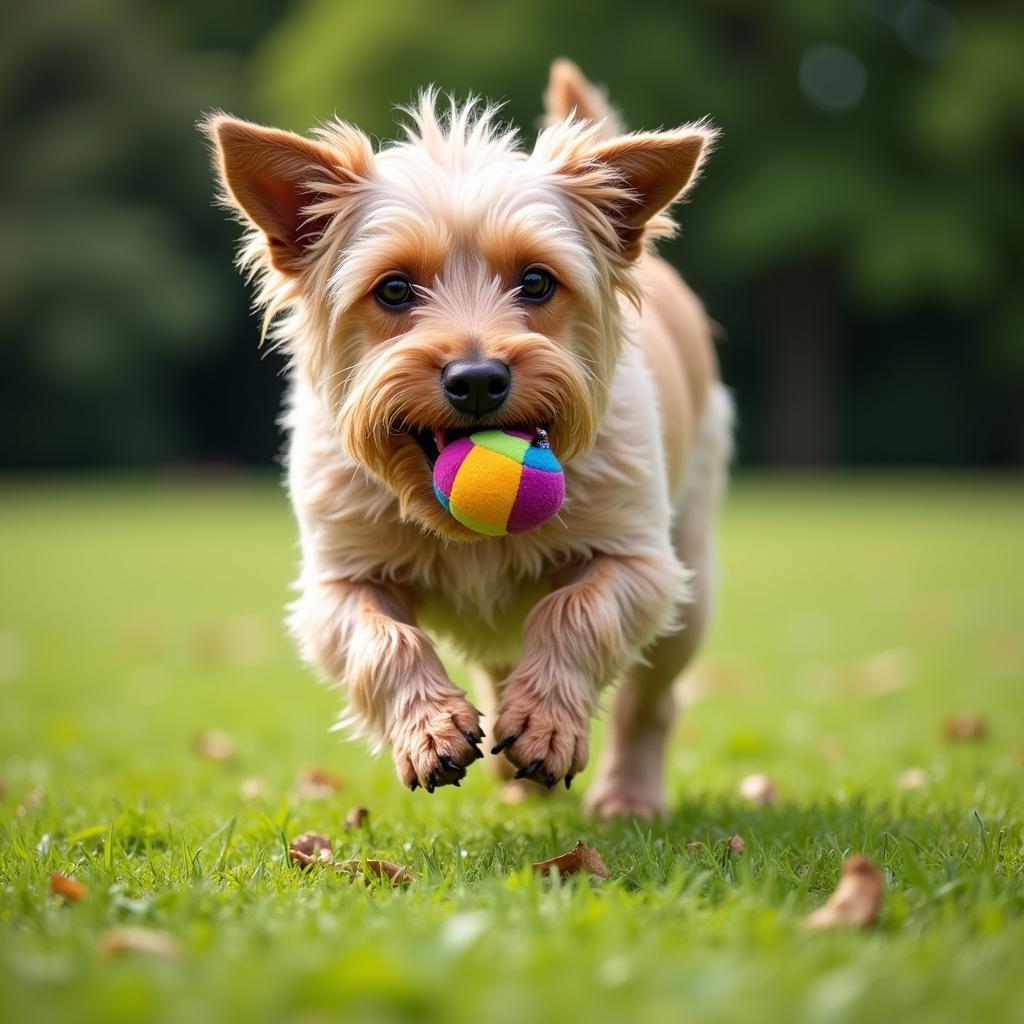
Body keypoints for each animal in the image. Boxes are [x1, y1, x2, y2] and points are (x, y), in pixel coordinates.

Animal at [203, 61, 729, 815]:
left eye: (536, 281)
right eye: (394, 290)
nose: (478, 380)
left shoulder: (638, 563)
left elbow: (574, 610)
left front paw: (545, 723)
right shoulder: (337, 583)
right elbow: (383, 639)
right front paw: (431, 730)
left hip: (692, 583)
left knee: (649, 701)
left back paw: (626, 793)